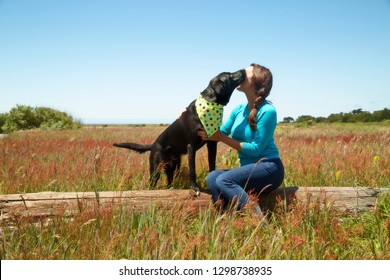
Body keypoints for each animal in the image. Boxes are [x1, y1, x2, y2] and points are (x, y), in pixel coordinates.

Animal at [114, 69, 245, 196]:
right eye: (229, 74)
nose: (243, 70)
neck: (210, 104)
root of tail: (153, 144)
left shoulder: (212, 143)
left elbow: (212, 165)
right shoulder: (191, 147)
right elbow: (192, 170)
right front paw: (194, 188)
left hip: (174, 167)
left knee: (169, 181)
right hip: (156, 168)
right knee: (152, 183)